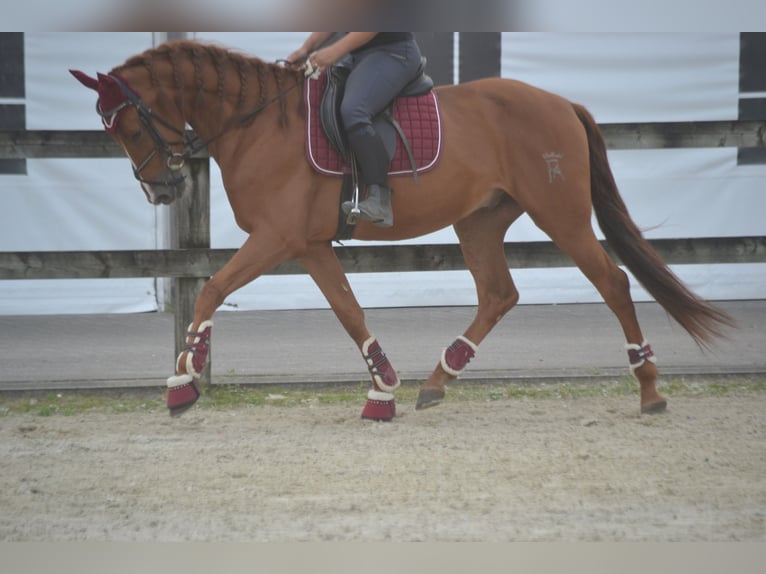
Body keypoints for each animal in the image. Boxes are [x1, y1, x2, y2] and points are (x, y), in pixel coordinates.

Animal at [70, 39, 732, 418]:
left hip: (559, 213)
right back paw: (438, 380)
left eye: (128, 125)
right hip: (479, 221)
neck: (259, 124)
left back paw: (650, 390)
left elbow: (210, 288)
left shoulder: (277, 239)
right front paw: (383, 389)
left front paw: (184, 380)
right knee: (499, 294)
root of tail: (560, 103)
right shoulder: (308, 244)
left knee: (612, 282)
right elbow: (348, 310)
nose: (162, 190)